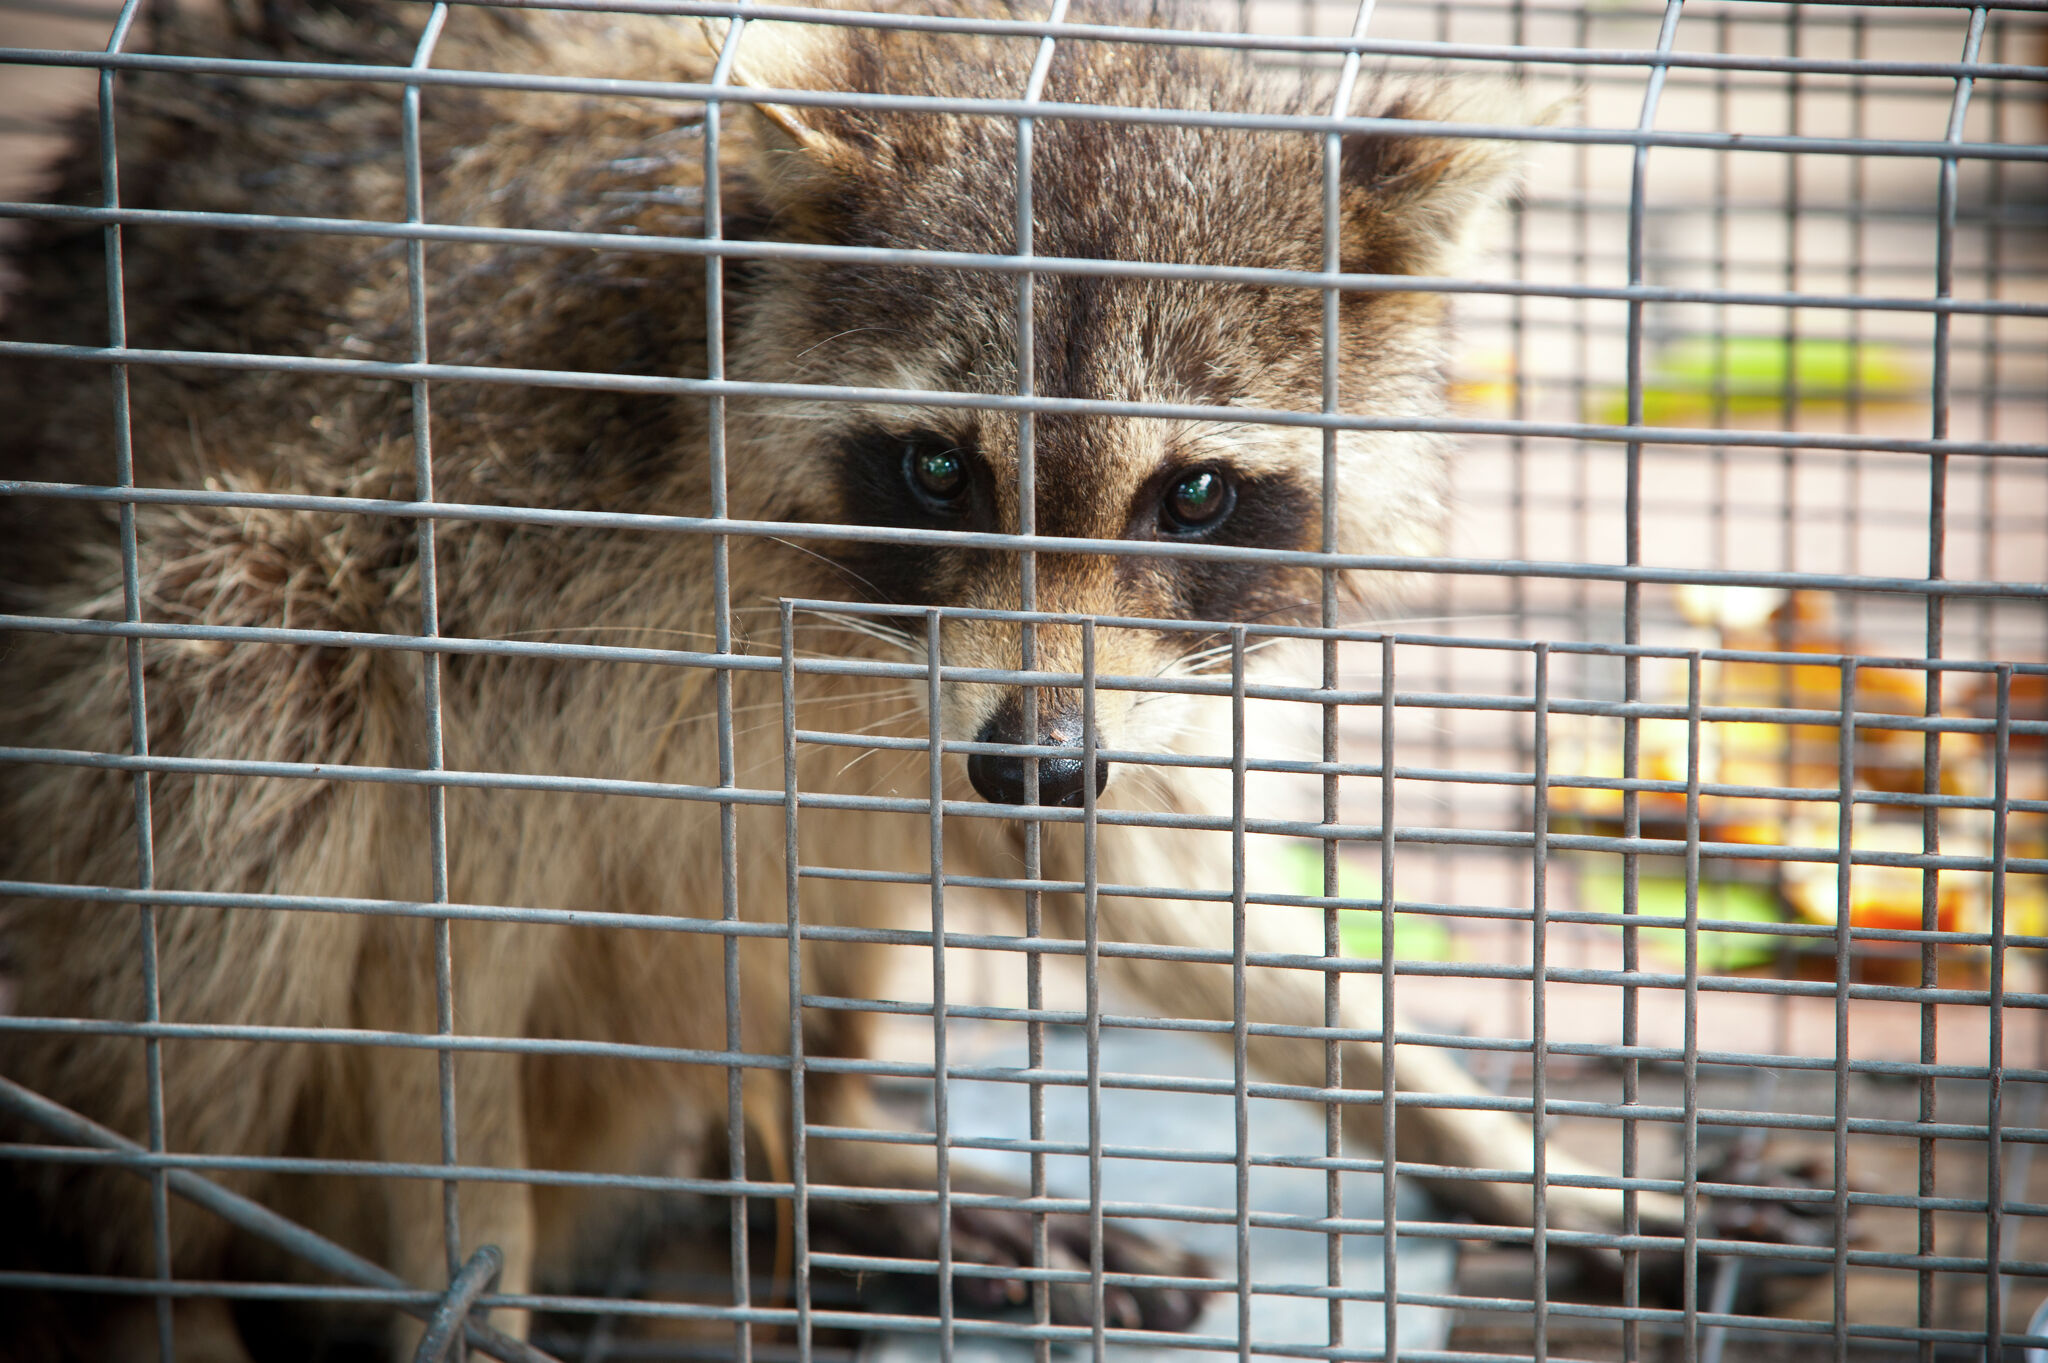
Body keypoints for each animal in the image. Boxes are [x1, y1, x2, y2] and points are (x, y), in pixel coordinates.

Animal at [0, 1, 1679, 1357]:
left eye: (1193, 495)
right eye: (941, 471)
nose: (1033, 760)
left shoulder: (1055, 692)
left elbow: (1142, 864)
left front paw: (1490, 1138)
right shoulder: (480, 530)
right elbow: (437, 938)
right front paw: (465, 1287)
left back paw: (821, 1147)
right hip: (214, 642)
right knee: (239, 709)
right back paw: (164, 1281)